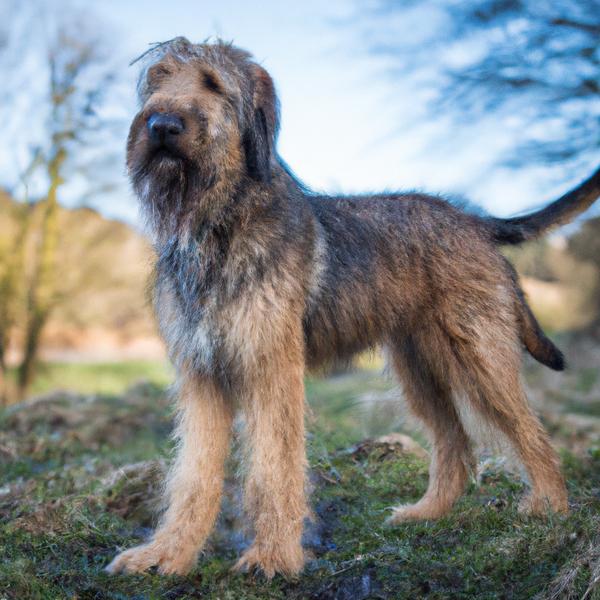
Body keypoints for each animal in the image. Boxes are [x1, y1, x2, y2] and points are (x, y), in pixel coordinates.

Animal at [108, 36, 600, 576]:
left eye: (213, 84)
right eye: (158, 80)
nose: (161, 125)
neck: (217, 223)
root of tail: (474, 220)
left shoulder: (270, 367)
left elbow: (275, 466)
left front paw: (273, 556)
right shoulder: (203, 376)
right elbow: (192, 475)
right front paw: (167, 554)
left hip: (481, 357)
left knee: (532, 435)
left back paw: (550, 511)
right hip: (420, 368)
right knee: (454, 444)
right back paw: (427, 513)